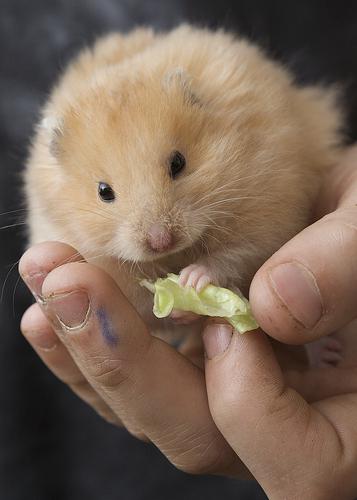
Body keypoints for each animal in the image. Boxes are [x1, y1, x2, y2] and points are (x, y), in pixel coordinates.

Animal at [25, 23, 342, 336]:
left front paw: (192, 283)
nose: (162, 241)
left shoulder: (268, 211)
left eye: (178, 163)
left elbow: (237, 254)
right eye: (104, 191)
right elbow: (140, 298)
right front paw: (174, 301)